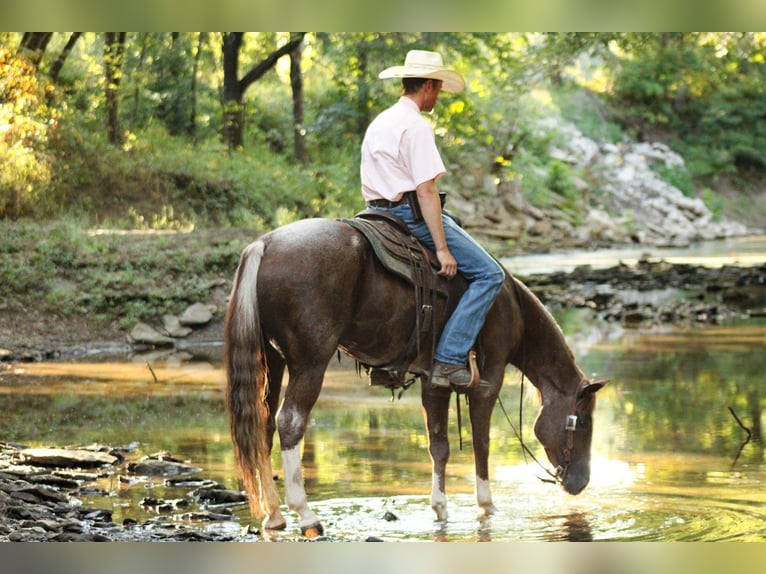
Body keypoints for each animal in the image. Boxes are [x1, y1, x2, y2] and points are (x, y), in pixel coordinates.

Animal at [224, 217, 606, 536]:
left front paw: (440, 509)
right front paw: (486, 506)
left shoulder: (432, 380)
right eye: (584, 422)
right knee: (290, 421)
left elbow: (439, 446)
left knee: (263, 426)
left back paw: (274, 515)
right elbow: (481, 442)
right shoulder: (489, 378)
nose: (581, 482)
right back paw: (305, 514)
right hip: (310, 362)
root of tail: (266, 244)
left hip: (272, 361)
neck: (511, 309)